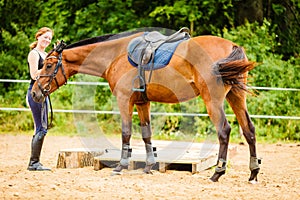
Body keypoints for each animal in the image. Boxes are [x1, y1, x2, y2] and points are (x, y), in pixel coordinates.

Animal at [31, 29, 260, 183]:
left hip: (213, 101)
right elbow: (146, 134)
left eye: (49, 65)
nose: (34, 92)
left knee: (224, 131)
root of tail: (232, 47)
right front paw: (148, 166)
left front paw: (120, 166)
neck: (116, 55)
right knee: (249, 130)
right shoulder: (143, 102)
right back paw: (253, 173)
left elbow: (126, 133)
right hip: (237, 98)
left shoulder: (125, 100)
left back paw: (217, 173)